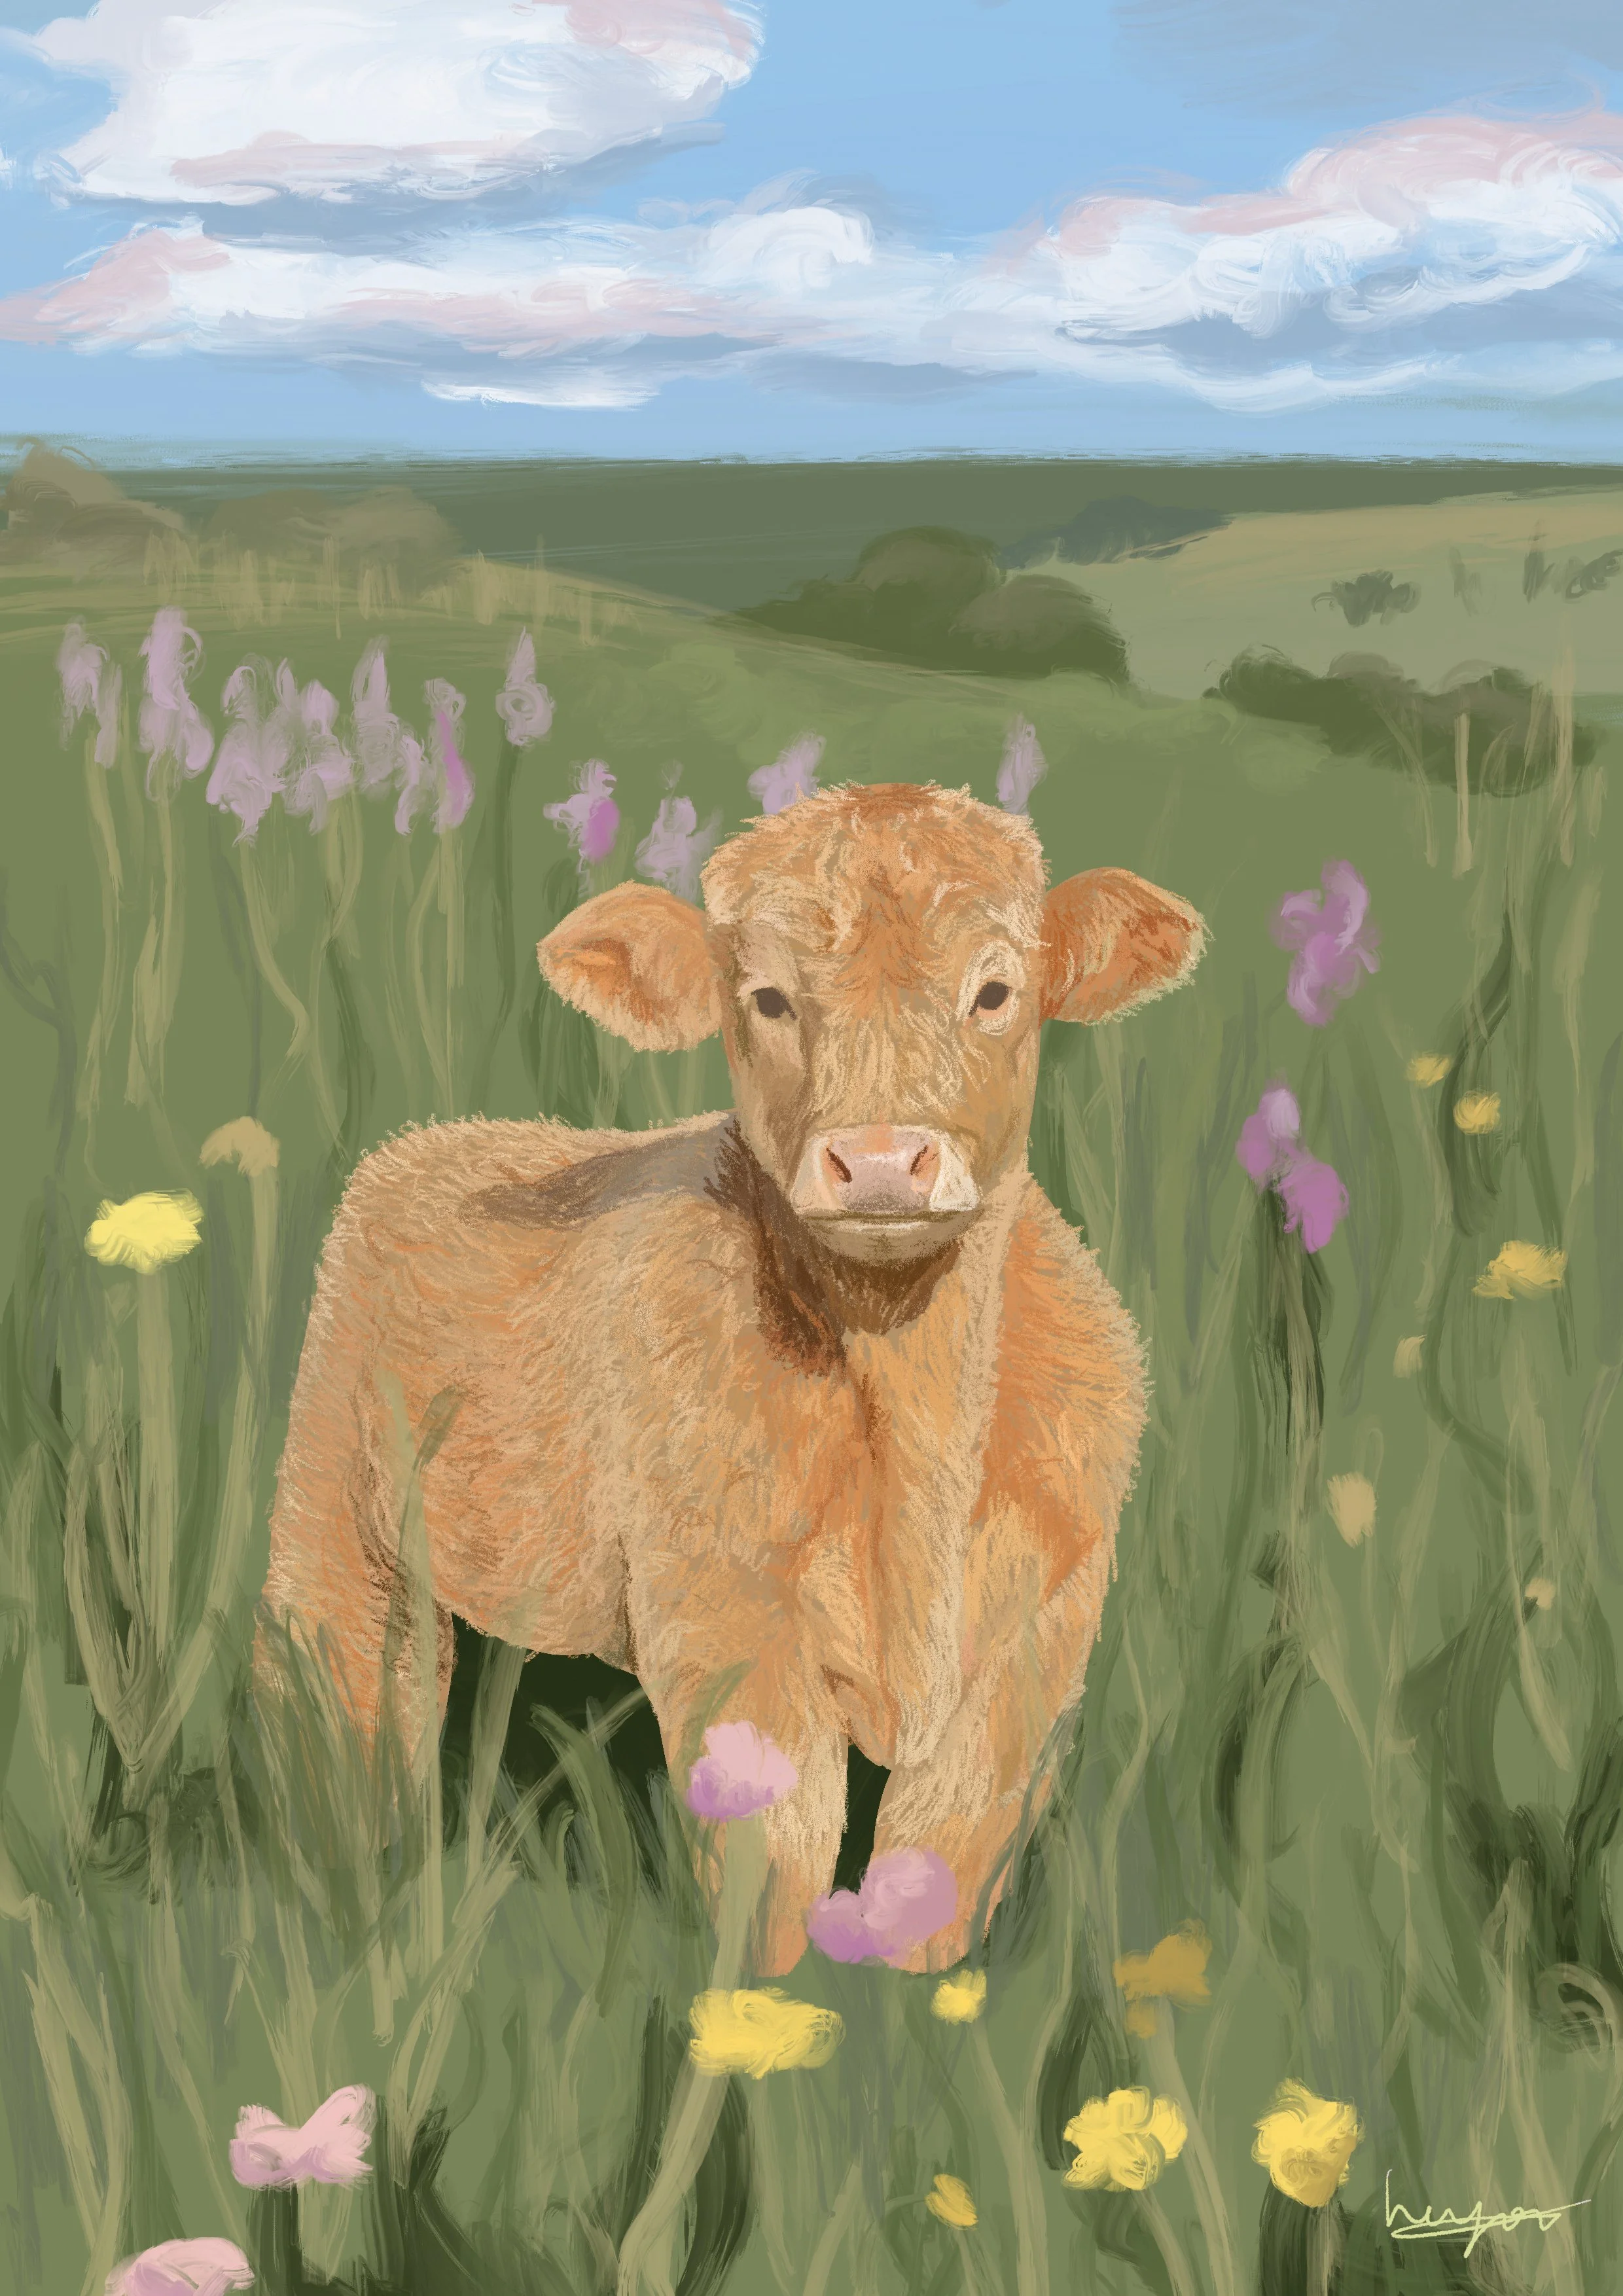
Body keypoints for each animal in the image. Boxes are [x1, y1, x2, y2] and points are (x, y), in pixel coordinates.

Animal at [255, 780, 1205, 1975]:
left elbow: (938, 1867)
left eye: (995, 991)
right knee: (349, 1712)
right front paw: (761, 2014)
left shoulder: (1037, 1641)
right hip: (337, 1520)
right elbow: (778, 1862)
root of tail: (445, 1138)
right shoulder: (728, 1620)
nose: (881, 1162)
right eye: (766, 997)